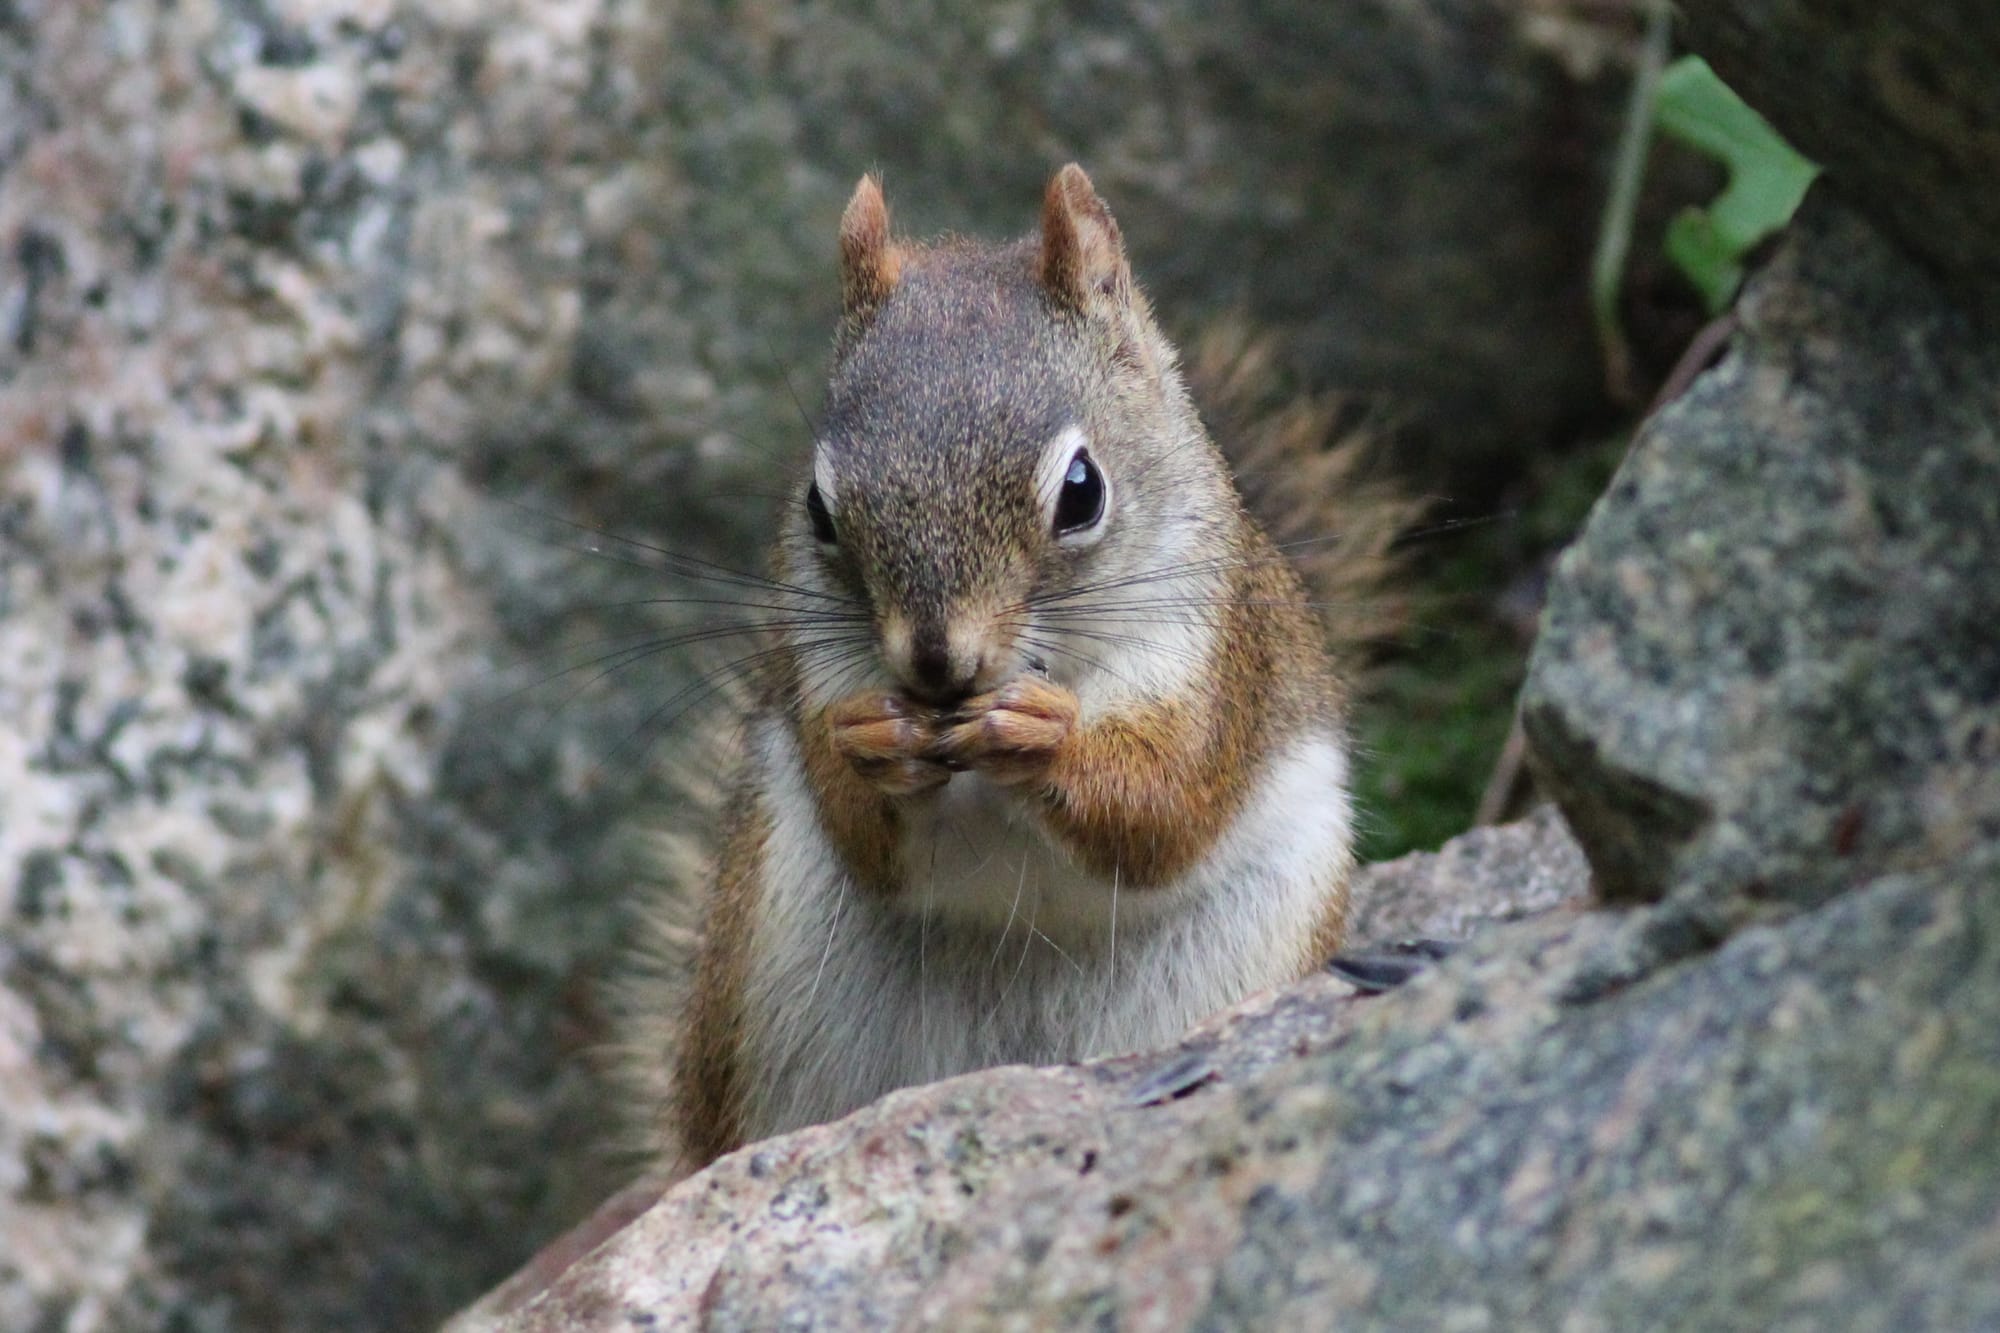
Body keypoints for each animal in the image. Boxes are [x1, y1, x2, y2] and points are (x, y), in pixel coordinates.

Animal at [641, 164, 1381, 1174]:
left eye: (1083, 490)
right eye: (819, 510)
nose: (937, 665)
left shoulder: (1215, 662)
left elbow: (1166, 807)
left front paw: (1041, 737)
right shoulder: (813, 677)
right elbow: (859, 829)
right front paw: (878, 740)